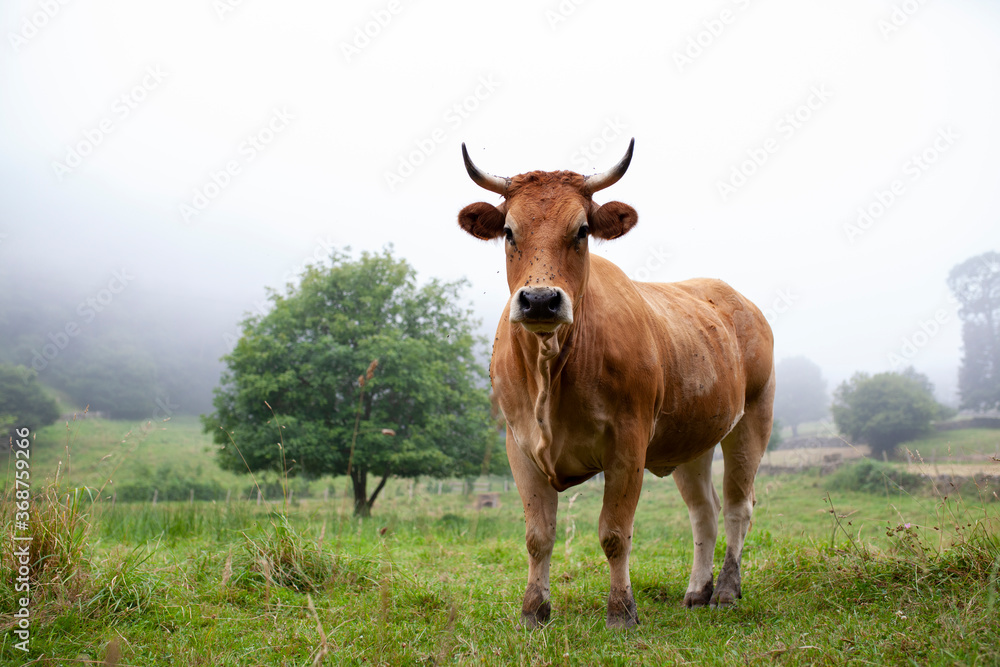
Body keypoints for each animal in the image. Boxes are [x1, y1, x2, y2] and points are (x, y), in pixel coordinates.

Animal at [457, 139, 775, 629]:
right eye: (509, 231)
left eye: (582, 230)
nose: (541, 301)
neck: (553, 368)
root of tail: (733, 296)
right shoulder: (519, 444)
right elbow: (538, 536)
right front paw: (533, 611)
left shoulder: (628, 444)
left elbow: (614, 533)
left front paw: (622, 611)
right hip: (692, 440)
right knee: (704, 513)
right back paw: (696, 590)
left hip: (752, 421)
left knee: (739, 507)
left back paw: (725, 589)